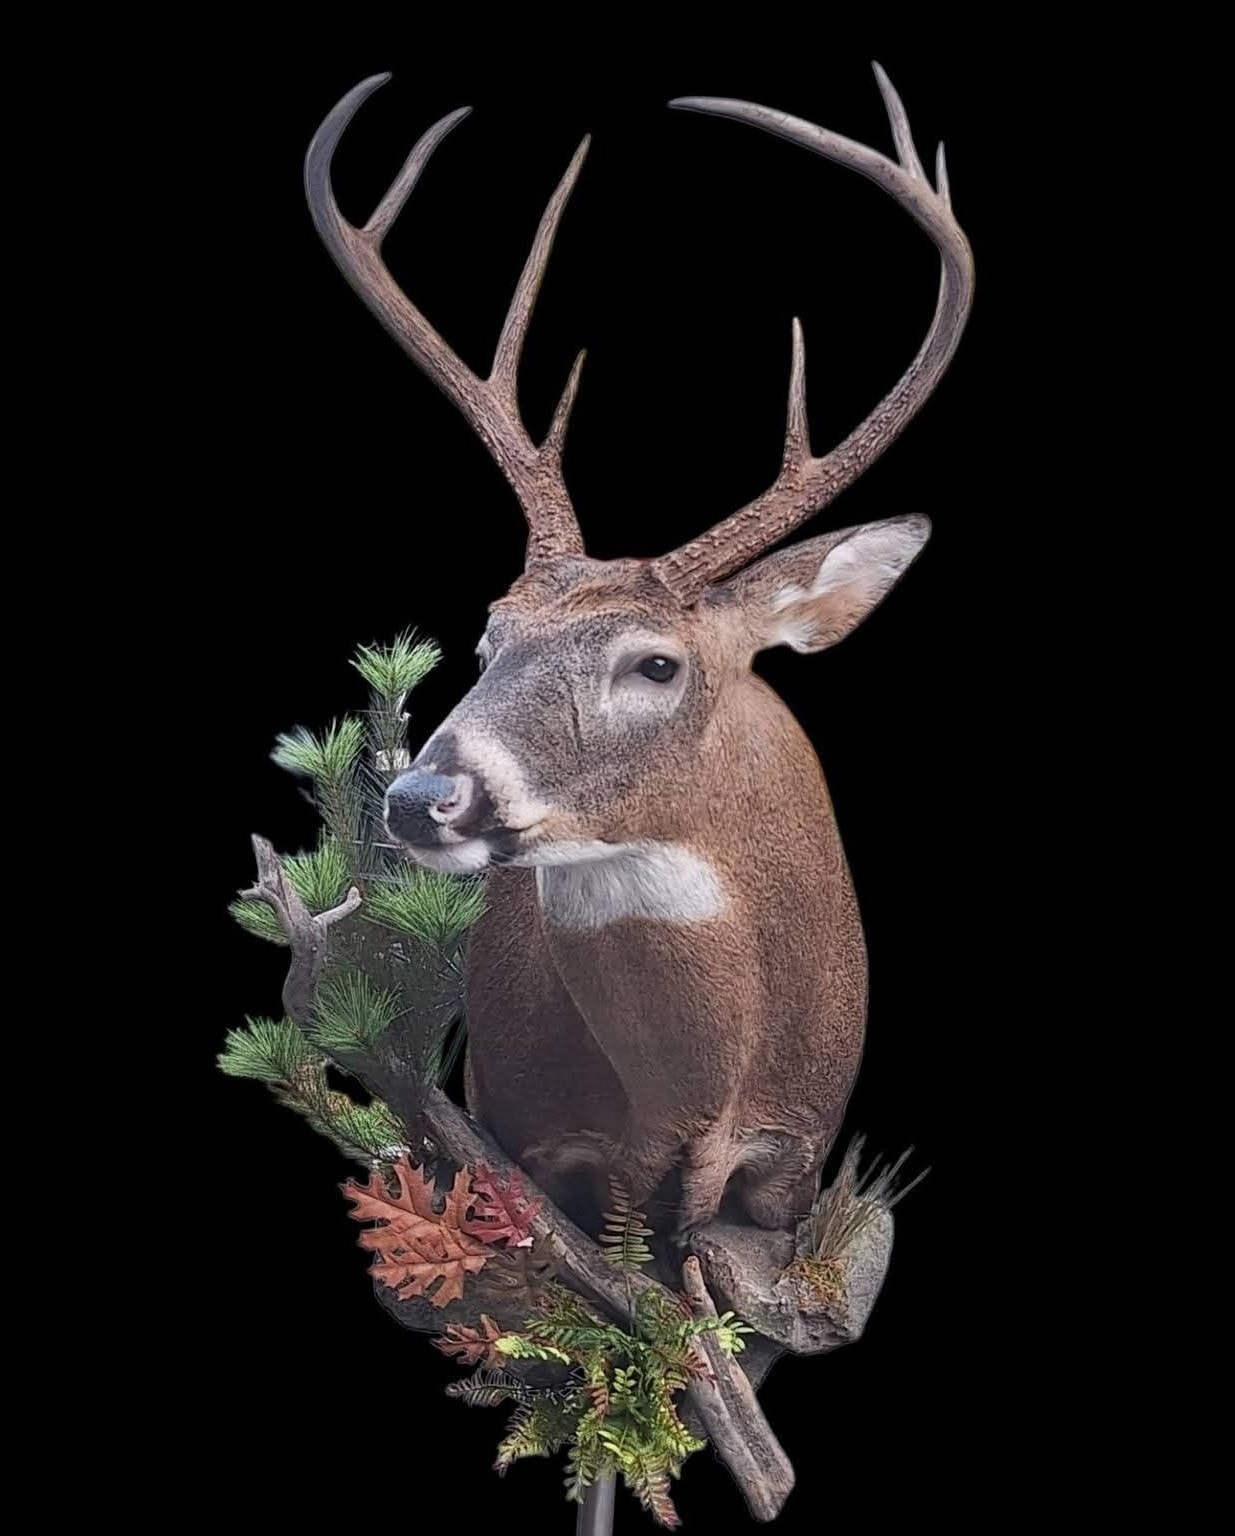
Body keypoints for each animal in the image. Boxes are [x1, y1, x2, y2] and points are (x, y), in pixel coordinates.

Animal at [305, 65, 974, 1243]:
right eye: (487, 632)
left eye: (655, 664)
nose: (419, 797)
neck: (691, 1096)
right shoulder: (537, 1137)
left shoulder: (793, 1159)